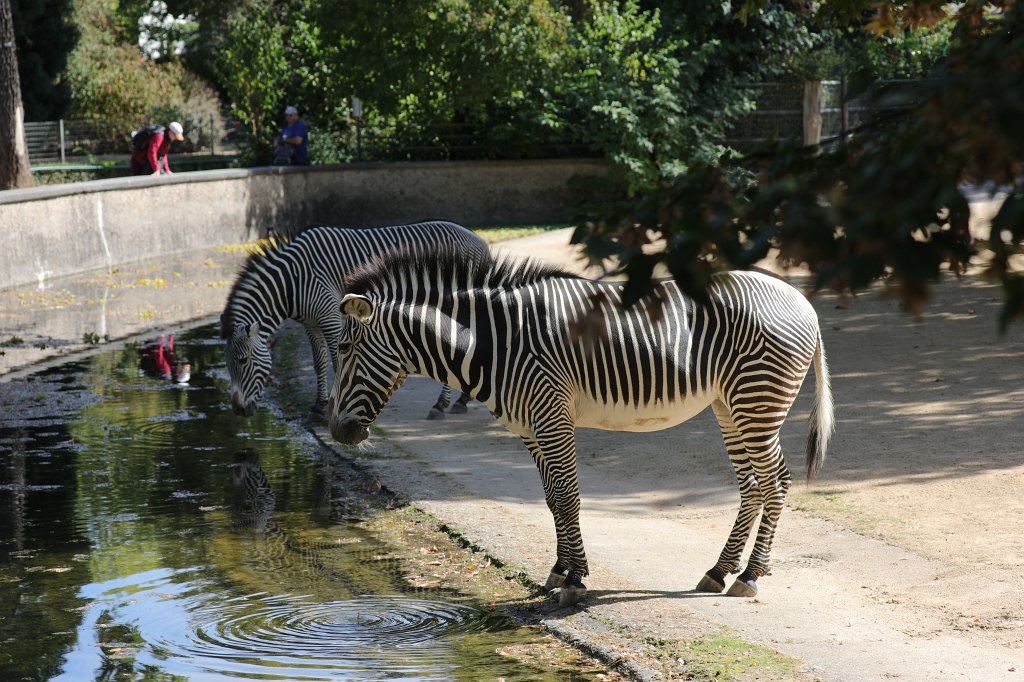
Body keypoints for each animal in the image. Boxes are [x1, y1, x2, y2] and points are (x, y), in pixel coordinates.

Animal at [220, 221, 485, 420]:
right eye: (227, 364)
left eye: (242, 361)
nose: (239, 410)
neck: (291, 282)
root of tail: (477, 238)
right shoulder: (311, 325)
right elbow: (319, 364)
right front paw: (318, 407)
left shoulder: (331, 319)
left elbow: (338, 363)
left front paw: (333, 408)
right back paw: (462, 400)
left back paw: (441, 404)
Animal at [325, 246, 834, 607]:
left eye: (346, 348)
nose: (337, 433)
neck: (494, 342)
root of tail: (802, 301)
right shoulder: (531, 427)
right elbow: (552, 499)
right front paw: (557, 570)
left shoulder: (552, 417)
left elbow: (568, 498)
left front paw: (574, 580)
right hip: (729, 405)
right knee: (753, 485)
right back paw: (719, 571)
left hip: (757, 401)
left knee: (776, 482)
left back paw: (750, 576)